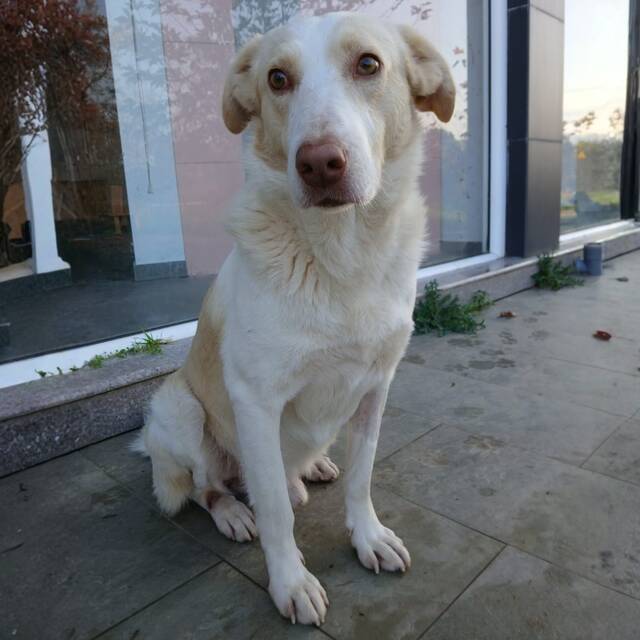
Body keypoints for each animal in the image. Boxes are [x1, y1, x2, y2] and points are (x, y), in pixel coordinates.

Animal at [135, 11, 454, 626]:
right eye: (277, 79)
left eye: (368, 64)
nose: (319, 163)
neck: (343, 259)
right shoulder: (255, 400)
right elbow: (278, 516)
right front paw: (290, 582)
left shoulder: (376, 385)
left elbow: (362, 476)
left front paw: (367, 537)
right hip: (178, 409)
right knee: (211, 485)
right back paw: (235, 512)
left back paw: (312, 468)